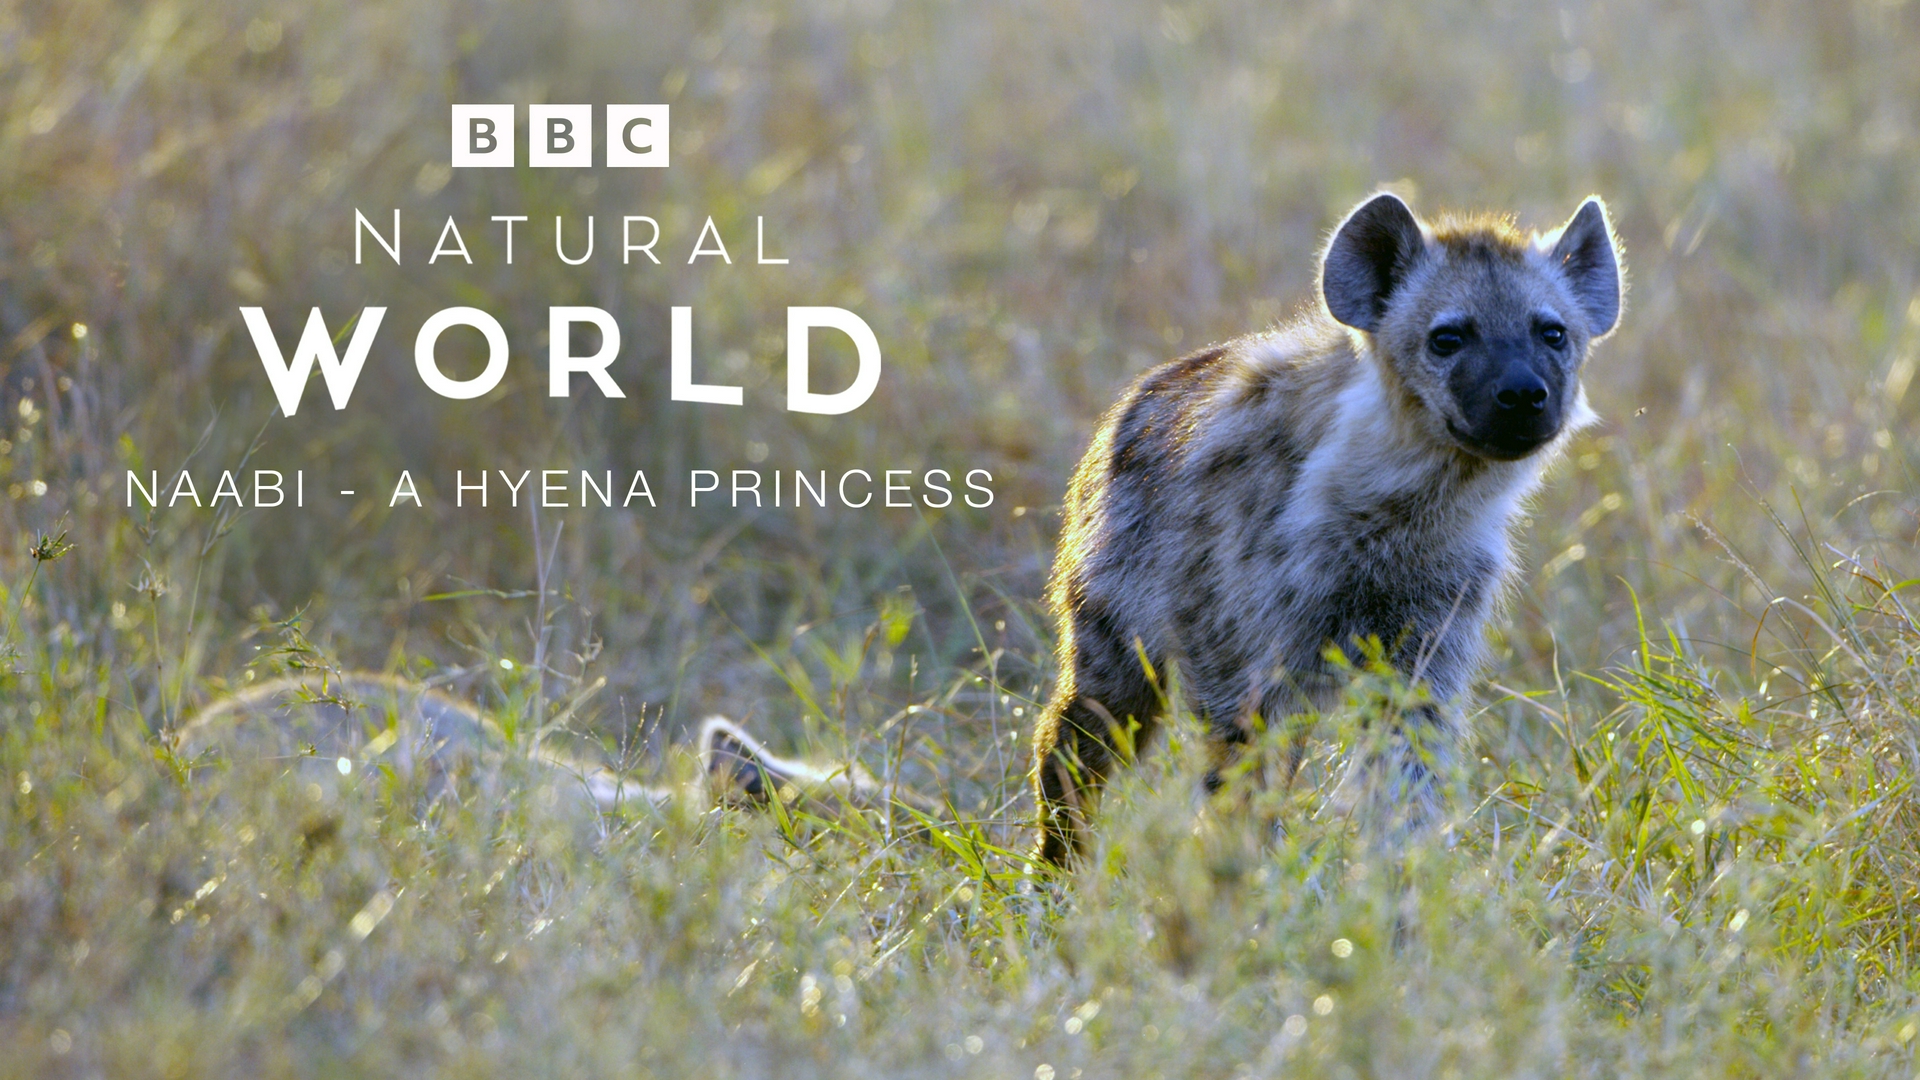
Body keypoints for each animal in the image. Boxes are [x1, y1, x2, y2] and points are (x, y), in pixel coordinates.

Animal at [1031, 191, 1623, 866]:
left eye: (1553, 332)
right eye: (1447, 338)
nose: (1523, 393)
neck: (1400, 512)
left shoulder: (1434, 629)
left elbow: (1408, 764)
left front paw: (1404, 872)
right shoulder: (1235, 632)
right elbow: (1244, 762)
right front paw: (1244, 873)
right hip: (1115, 609)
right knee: (1085, 732)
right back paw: (1056, 868)